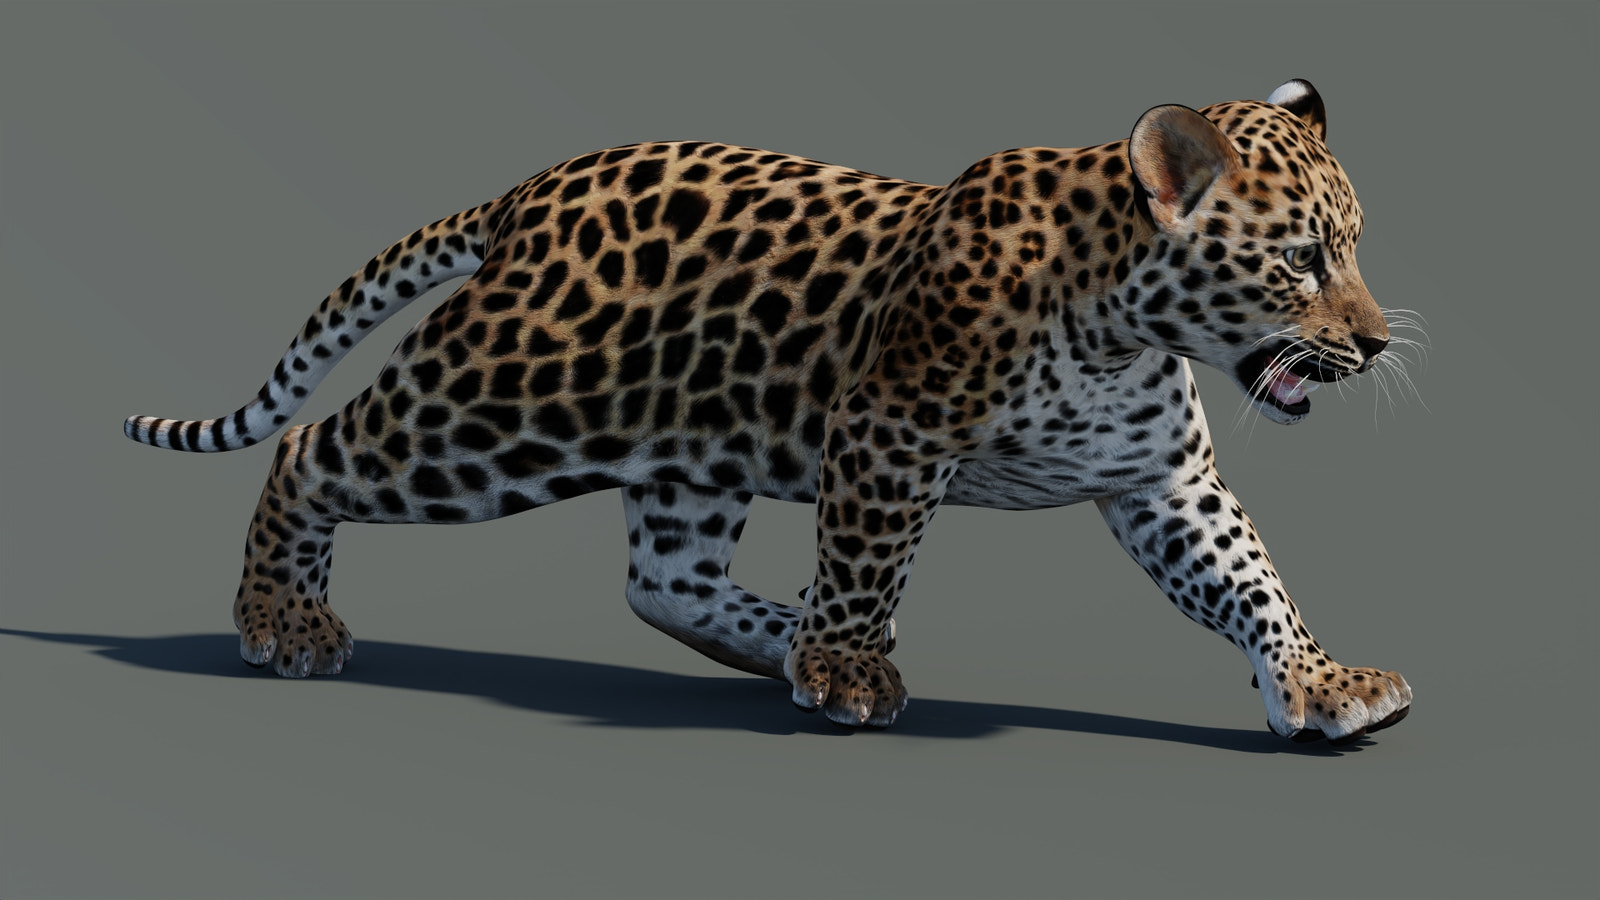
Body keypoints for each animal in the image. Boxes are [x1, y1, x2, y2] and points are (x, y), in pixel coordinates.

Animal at [125, 78, 1412, 744]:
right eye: (1299, 260)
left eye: (1353, 250)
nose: (1372, 342)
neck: (1119, 329)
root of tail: (534, 188)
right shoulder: (886, 432)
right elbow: (867, 558)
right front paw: (844, 669)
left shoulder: (1160, 481)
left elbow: (1247, 578)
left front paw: (1320, 684)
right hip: (497, 410)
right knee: (311, 447)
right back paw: (282, 621)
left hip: (689, 444)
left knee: (664, 581)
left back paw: (776, 634)